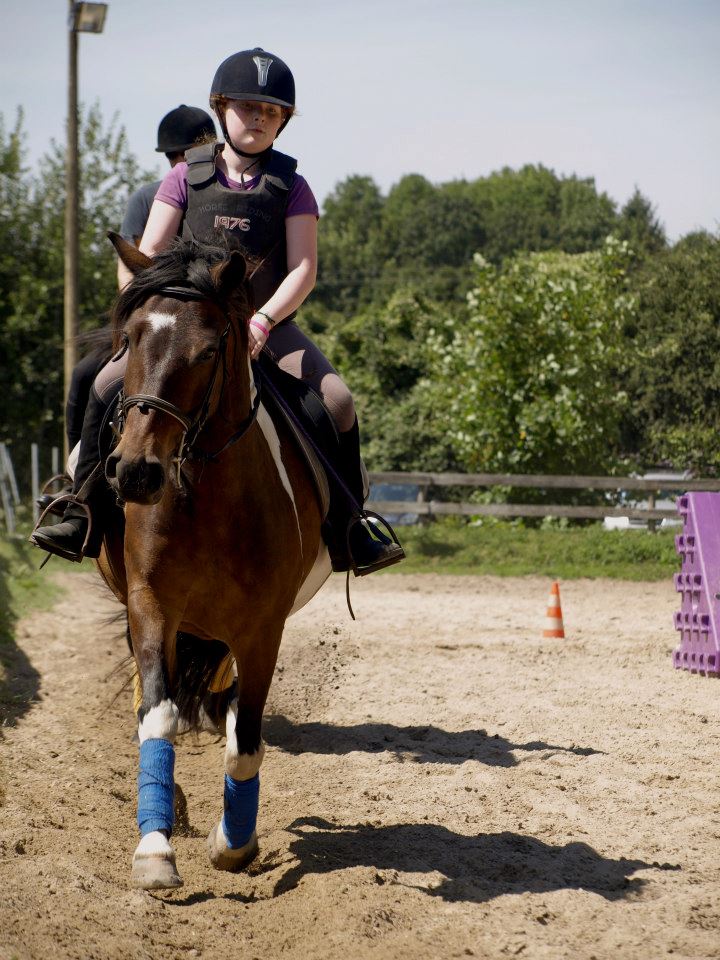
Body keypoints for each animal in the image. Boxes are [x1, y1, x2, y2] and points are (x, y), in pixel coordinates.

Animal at [98, 236, 330, 888]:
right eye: (130, 341)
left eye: (206, 351)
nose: (136, 473)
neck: (208, 497)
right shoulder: (152, 605)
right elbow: (157, 715)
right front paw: (154, 848)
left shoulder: (261, 628)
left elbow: (245, 740)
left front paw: (235, 842)